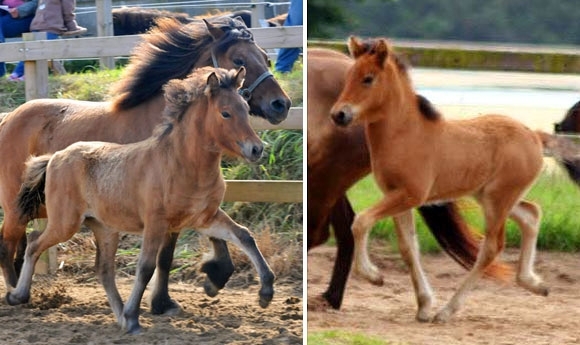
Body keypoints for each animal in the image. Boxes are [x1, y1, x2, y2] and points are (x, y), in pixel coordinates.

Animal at [0, 16, 290, 314]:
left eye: (266, 57)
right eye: (238, 58)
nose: (281, 104)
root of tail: (8, 117)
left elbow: (193, 244)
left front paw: (209, 279)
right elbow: (165, 256)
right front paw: (165, 299)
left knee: (22, 244)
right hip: (17, 207)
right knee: (8, 243)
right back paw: (13, 291)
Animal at [328, 36, 572, 322]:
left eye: (368, 78)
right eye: (348, 77)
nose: (339, 115)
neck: (406, 134)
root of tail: (534, 135)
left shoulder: (410, 195)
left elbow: (361, 221)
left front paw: (373, 276)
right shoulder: (396, 196)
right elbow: (408, 248)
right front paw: (423, 305)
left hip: (497, 200)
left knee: (491, 248)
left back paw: (447, 311)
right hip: (491, 196)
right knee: (531, 214)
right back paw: (534, 283)